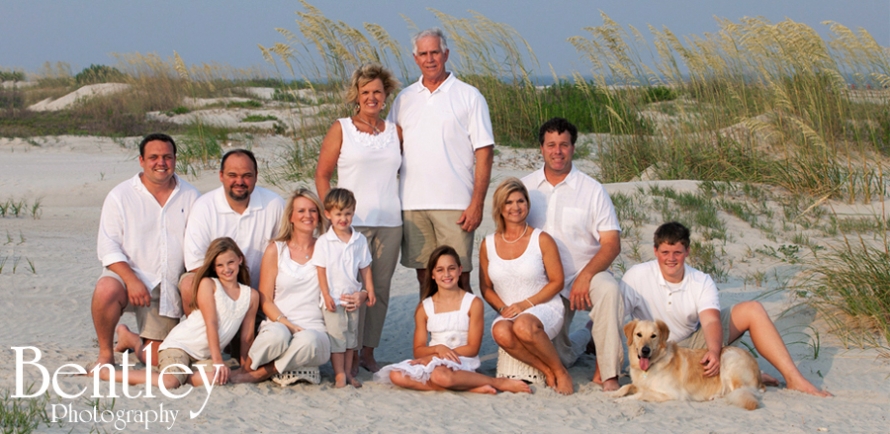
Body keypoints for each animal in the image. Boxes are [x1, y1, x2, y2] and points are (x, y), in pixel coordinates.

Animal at [612, 318, 764, 410]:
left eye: (653, 336)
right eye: (638, 334)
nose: (645, 350)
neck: (653, 363)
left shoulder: (670, 394)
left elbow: (640, 395)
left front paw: (623, 400)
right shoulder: (639, 384)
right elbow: (627, 386)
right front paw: (614, 393)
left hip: (728, 358)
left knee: (736, 391)